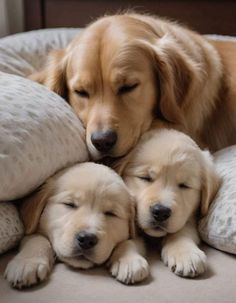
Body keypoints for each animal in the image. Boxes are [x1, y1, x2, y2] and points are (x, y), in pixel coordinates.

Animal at [4, 164, 148, 290]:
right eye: (69, 204)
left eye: (111, 213)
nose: (87, 239)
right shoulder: (30, 230)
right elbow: (36, 238)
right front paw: (26, 262)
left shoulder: (139, 234)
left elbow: (131, 241)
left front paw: (129, 261)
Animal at [115, 129, 220, 280]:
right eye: (145, 178)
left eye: (184, 185)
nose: (161, 212)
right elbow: (126, 238)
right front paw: (128, 261)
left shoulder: (188, 217)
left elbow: (182, 230)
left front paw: (185, 253)